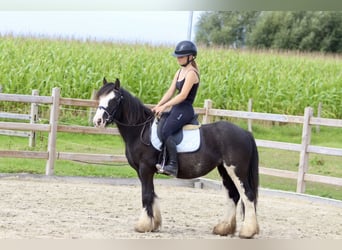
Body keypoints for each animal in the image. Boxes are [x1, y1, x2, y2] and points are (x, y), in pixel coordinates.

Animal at [93, 78, 260, 238]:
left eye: (114, 100)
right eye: (100, 98)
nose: (97, 121)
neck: (141, 130)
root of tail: (246, 133)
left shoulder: (145, 169)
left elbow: (146, 195)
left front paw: (144, 226)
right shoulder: (142, 171)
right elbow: (152, 194)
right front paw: (154, 224)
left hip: (237, 170)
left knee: (248, 196)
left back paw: (247, 232)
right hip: (224, 170)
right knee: (233, 196)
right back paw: (224, 228)